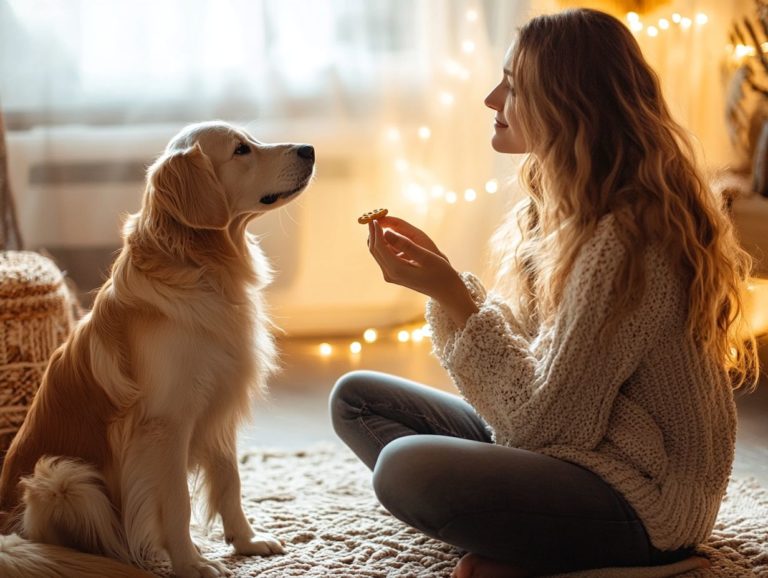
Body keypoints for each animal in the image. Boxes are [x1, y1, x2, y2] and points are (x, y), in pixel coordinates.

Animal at [0, 119, 316, 572]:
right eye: (240, 150)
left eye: (252, 140)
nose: (309, 149)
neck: (204, 267)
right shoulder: (165, 425)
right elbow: (178, 502)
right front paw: (191, 563)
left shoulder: (220, 407)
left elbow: (230, 481)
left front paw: (246, 540)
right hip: (63, 478)